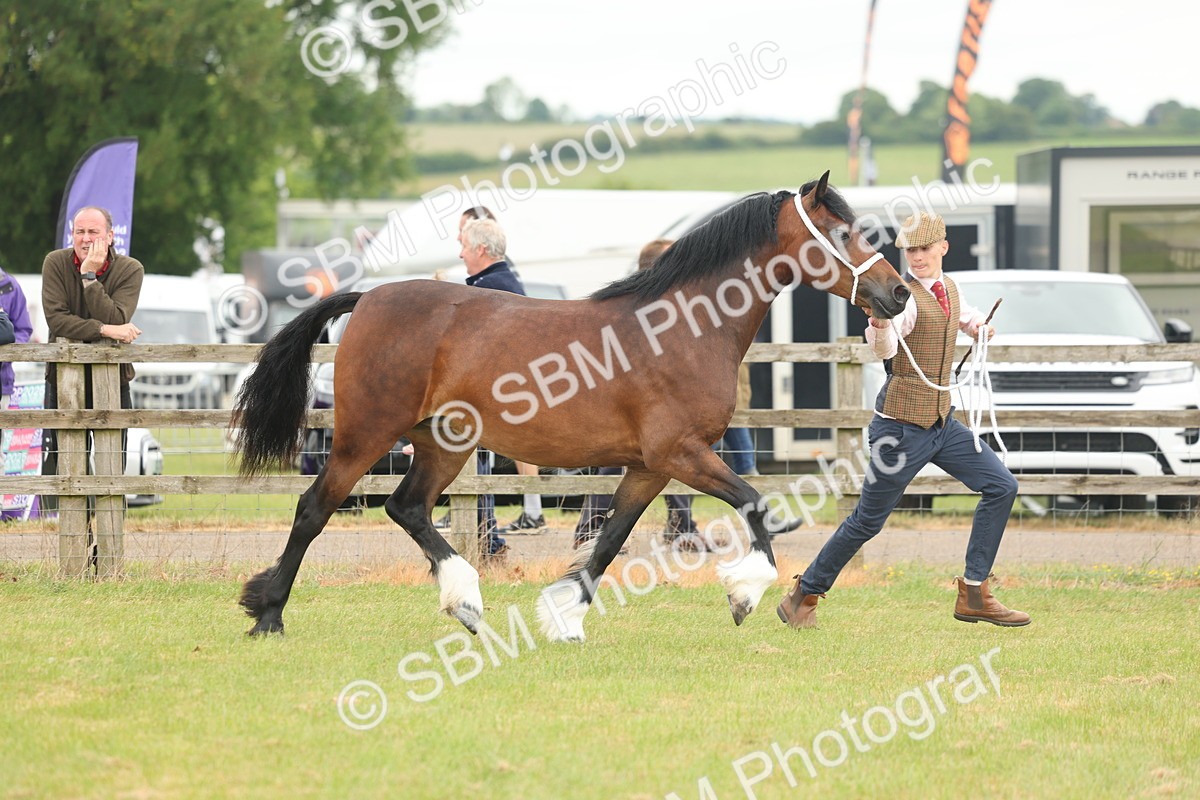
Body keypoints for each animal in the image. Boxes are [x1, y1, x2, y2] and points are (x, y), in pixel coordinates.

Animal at [232, 172, 911, 641]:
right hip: (366, 434)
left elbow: (608, 542)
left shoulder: (649, 468)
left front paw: (564, 619)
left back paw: (466, 603)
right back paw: (269, 615)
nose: (899, 294)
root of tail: (368, 297)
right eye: (844, 234)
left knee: (407, 508)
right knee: (314, 509)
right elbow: (756, 505)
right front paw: (744, 595)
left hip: (442, 443)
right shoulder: (682, 454)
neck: (683, 329)